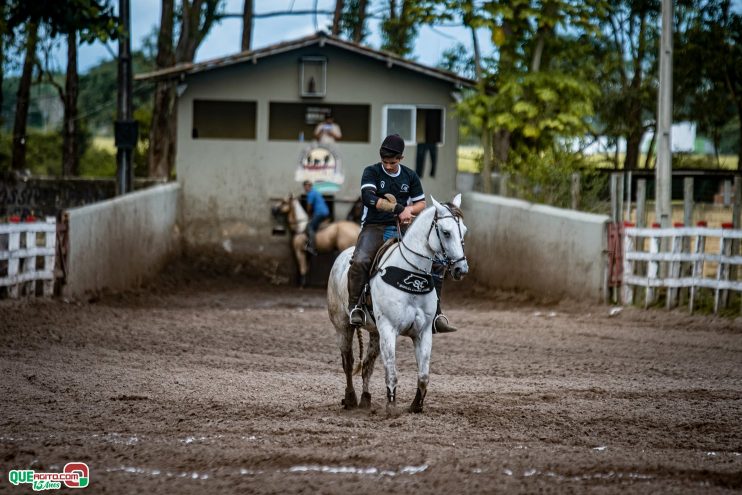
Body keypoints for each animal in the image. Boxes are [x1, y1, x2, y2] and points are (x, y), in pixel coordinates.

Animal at [326, 194, 468, 414]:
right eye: (446, 232)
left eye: (464, 231)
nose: (462, 268)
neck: (410, 274)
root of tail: (342, 256)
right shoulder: (388, 329)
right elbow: (391, 371)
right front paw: (391, 407)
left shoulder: (423, 332)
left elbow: (423, 375)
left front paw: (416, 405)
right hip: (342, 326)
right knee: (348, 362)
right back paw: (350, 399)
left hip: (375, 332)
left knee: (367, 364)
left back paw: (365, 400)